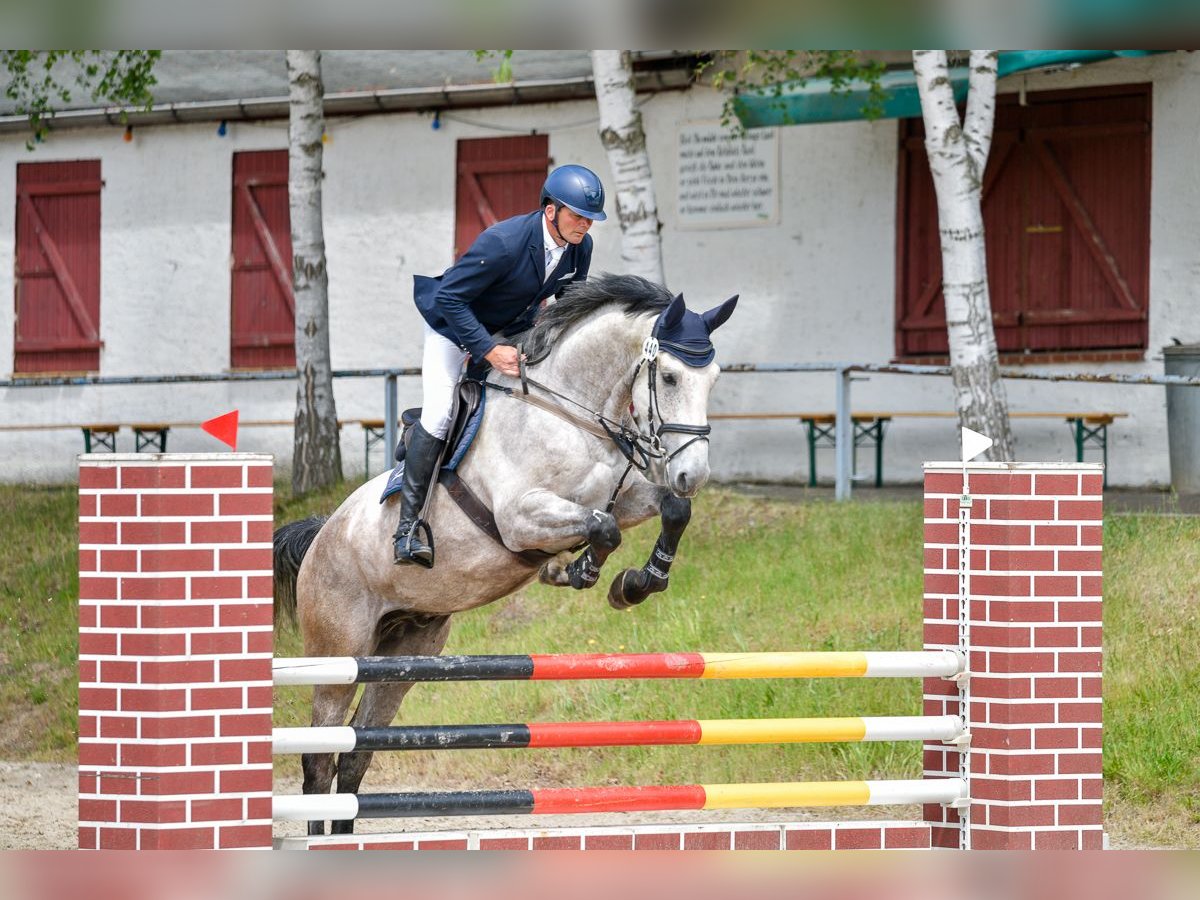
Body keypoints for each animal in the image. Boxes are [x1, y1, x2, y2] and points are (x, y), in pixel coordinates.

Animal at [274, 274, 734, 840]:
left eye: (713, 378)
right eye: (668, 377)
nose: (693, 473)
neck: (571, 414)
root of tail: (321, 535)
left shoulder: (619, 496)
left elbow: (670, 509)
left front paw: (634, 583)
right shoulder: (520, 517)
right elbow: (601, 529)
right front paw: (576, 570)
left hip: (403, 655)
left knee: (357, 754)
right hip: (340, 654)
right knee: (320, 757)